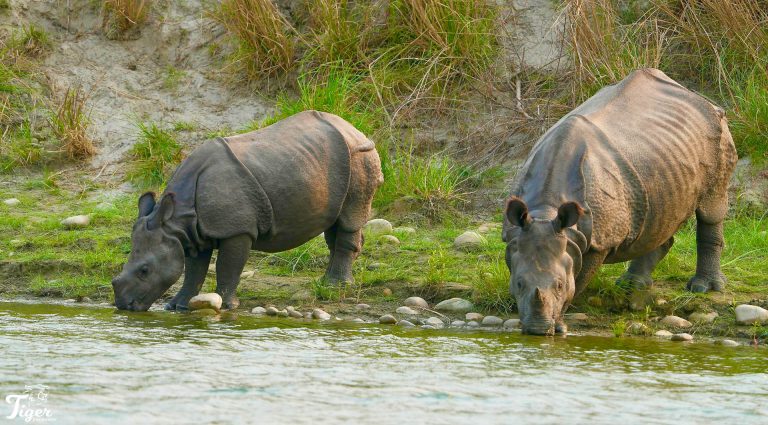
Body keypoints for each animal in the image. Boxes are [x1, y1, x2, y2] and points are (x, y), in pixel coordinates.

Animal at [112, 111, 383, 311]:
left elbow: (228, 266)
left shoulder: (237, 229)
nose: (124, 306)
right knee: (335, 224)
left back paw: (336, 286)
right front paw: (177, 306)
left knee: (349, 218)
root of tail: (355, 129)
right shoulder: (192, 232)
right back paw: (329, 282)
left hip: (359, 155)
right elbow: (193, 270)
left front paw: (226, 306)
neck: (176, 219)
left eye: (145, 270)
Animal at [502, 69, 737, 335]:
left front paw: (560, 325)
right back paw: (632, 285)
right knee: (658, 215)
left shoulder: (597, 242)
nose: (537, 330)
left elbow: (578, 280)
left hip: (718, 134)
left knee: (711, 208)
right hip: (659, 160)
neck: (546, 209)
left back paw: (703, 288)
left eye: (560, 285)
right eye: (519, 283)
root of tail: (699, 98)